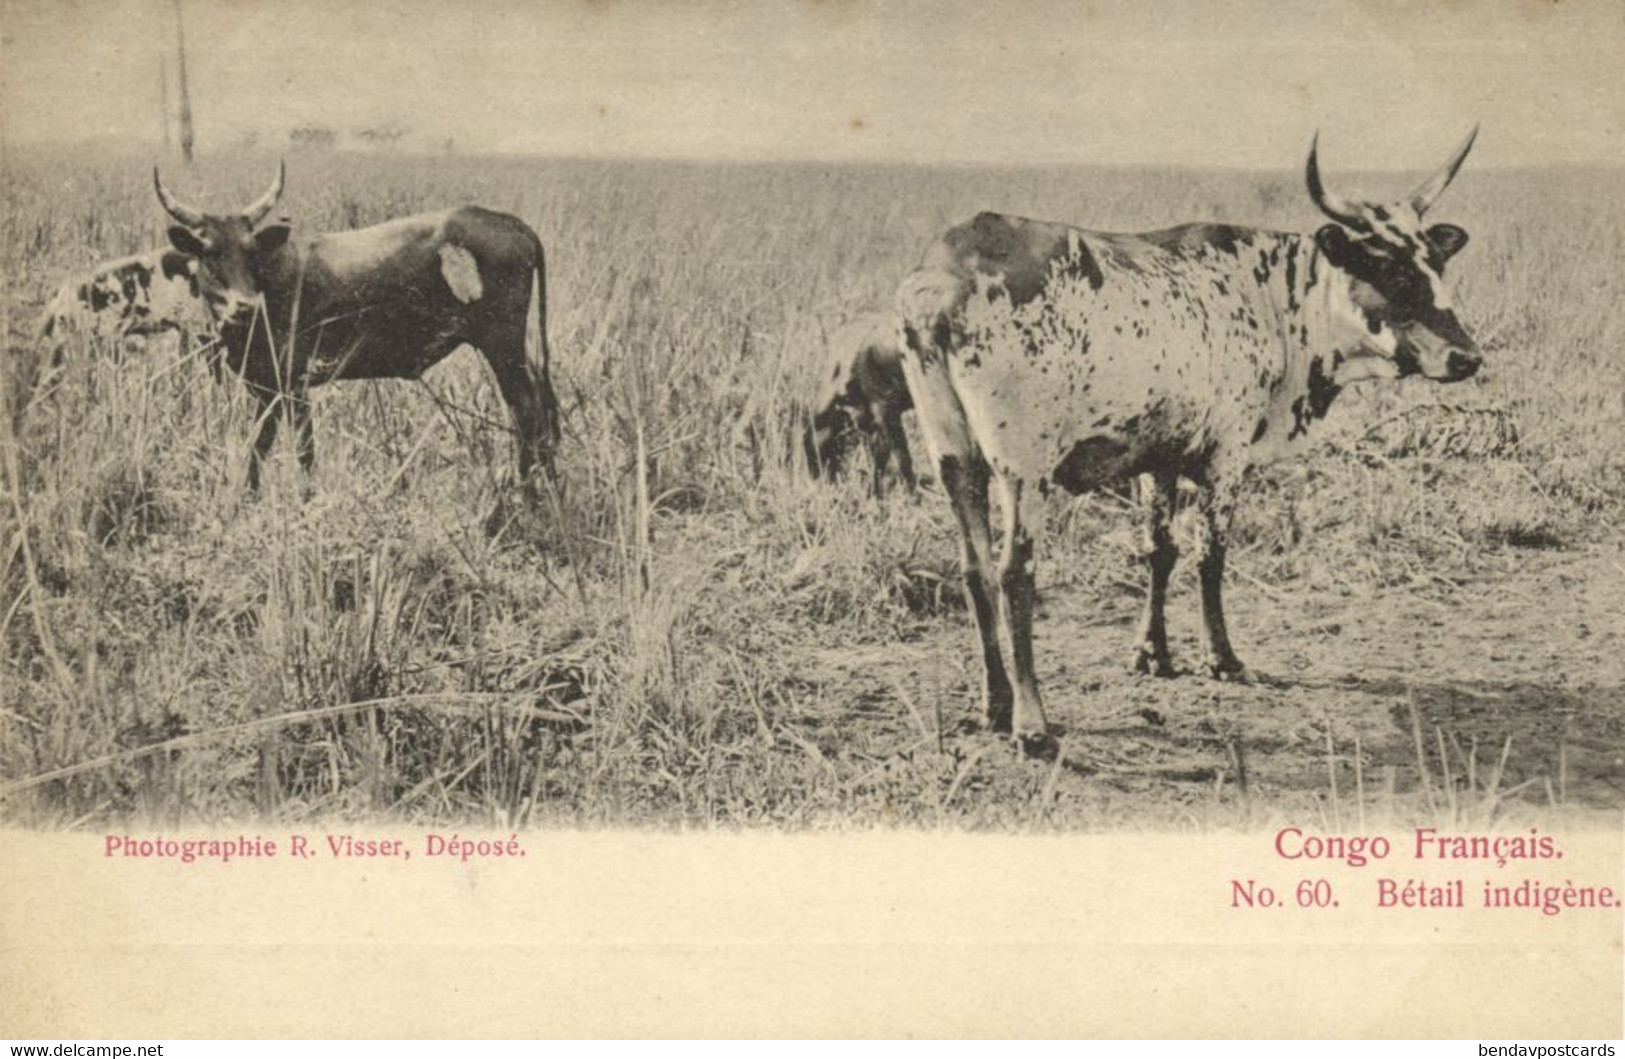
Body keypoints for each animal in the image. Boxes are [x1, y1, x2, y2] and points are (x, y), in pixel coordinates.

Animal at [153, 162, 559, 493]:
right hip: (516, 349)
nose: (245, 306)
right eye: (209, 253)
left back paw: (524, 493)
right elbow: (264, 446)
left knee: (527, 412)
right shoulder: (267, 388)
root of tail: (507, 221)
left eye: (251, 251)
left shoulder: (290, 384)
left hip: (502, 344)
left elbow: (295, 449)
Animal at [804, 312, 916, 497]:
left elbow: (901, 458)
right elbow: (880, 461)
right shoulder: (876, 421)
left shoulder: (886, 411)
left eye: (823, 453)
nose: (820, 485)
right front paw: (875, 493)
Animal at [895, 130, 1483, 748]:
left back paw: (996, 703)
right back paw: (1032, 721)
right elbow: (1210, 555)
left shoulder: (1161, 455)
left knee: (975, 570)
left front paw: (1152, 653)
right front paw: (1223, 659)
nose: (1467, 357)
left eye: (1436, 263)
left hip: (953, 456)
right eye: (1390, 269)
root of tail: (941, 280)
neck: (1275, 298)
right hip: (1021, 466)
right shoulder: (1226, 453)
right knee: (1014, 572)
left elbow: (1160, 551)